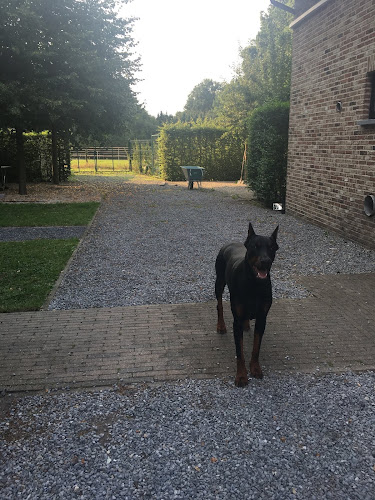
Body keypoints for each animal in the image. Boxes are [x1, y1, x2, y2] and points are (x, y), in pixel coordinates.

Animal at [214, 223, 280, 386]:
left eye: (271, 247)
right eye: (255, 246)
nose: (265, 261)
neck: (254, 284)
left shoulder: (262, 318)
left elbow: (256, 348)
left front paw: (255, 368)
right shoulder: (236, 321)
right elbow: (240, 352)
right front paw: (241, 376)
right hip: (219, 282)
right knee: (219, 304)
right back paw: (221, 326)